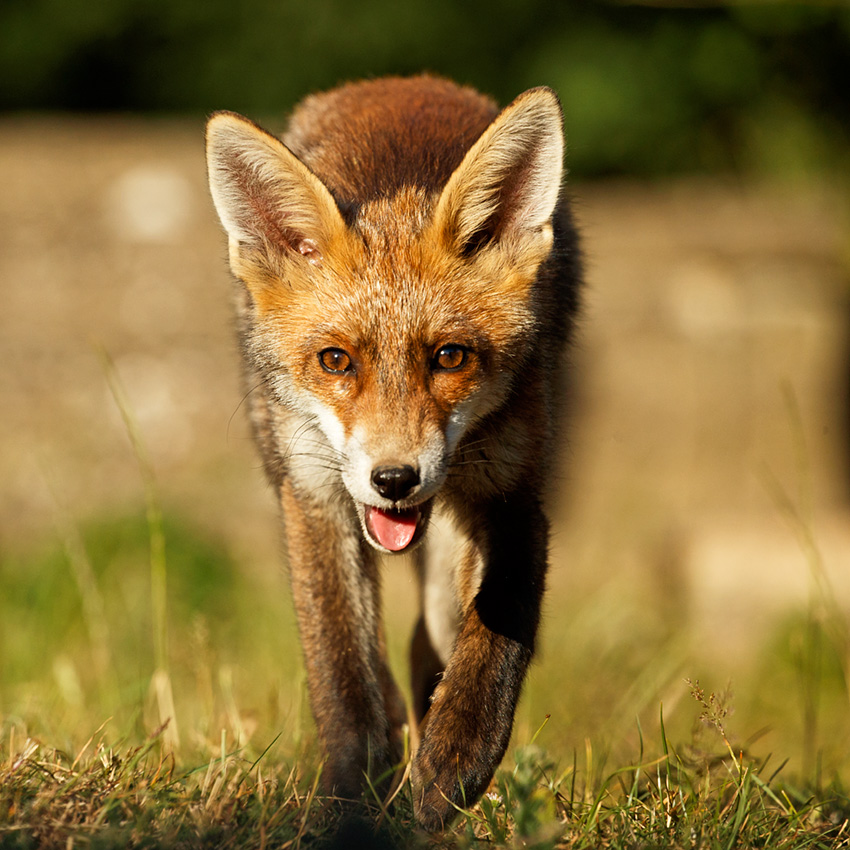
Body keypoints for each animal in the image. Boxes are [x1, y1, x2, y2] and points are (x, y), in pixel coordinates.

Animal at [205, 74, 581, 830]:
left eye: (450, 357)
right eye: (335, 360)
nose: (395, 479)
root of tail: (401, 82)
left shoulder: (514, 490)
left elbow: (498, 635)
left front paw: (454, 760)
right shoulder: (314, 495)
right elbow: (344, 676)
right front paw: (354, 800)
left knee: (427, 637)